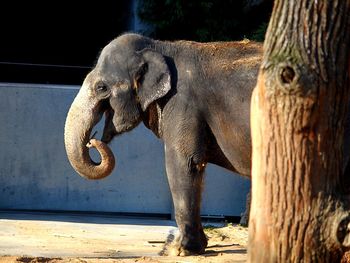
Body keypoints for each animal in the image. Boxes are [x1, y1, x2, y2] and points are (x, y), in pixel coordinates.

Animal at [64, 32, 262, 256]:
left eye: (101, 87)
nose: (92, 141)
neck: (161, 46)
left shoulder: (182, 104)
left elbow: (184, 163)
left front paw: (178, 250)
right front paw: (193, 247)